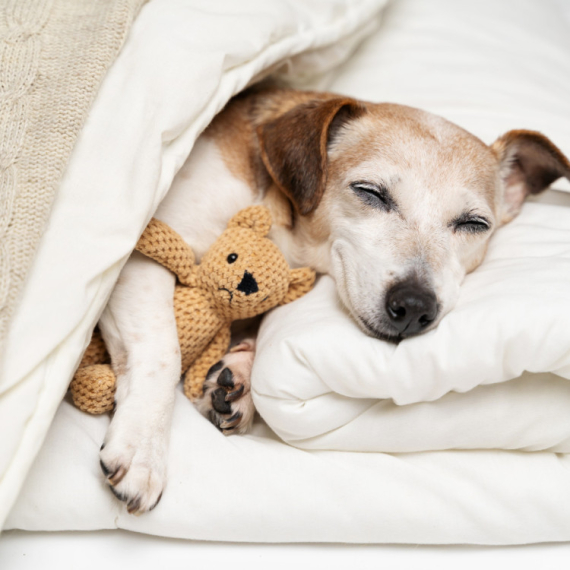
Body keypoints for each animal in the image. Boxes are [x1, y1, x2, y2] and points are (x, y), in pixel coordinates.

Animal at [97, 85, 568, 516]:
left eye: (474, 224)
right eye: (370, 192)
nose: (415, 306)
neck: (277, 219)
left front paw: (241, 375)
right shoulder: (144, 251)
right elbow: (163, 352)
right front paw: (144, 449)